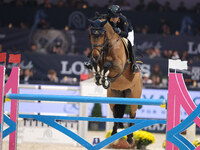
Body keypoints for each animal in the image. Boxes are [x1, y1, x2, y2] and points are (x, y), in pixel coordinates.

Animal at [88, 16, 143, 145]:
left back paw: (130, 138)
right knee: (116, 114)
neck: (108, 46)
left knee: (132, 114)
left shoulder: (118, 66)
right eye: (91, 34)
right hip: (114, 96)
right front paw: (99, 78)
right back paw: (113, 135)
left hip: (133, 97)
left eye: (102, 34)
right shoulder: (97, 60)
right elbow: (95, 64)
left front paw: (105, 79)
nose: (95, 54)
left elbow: (107, 65)